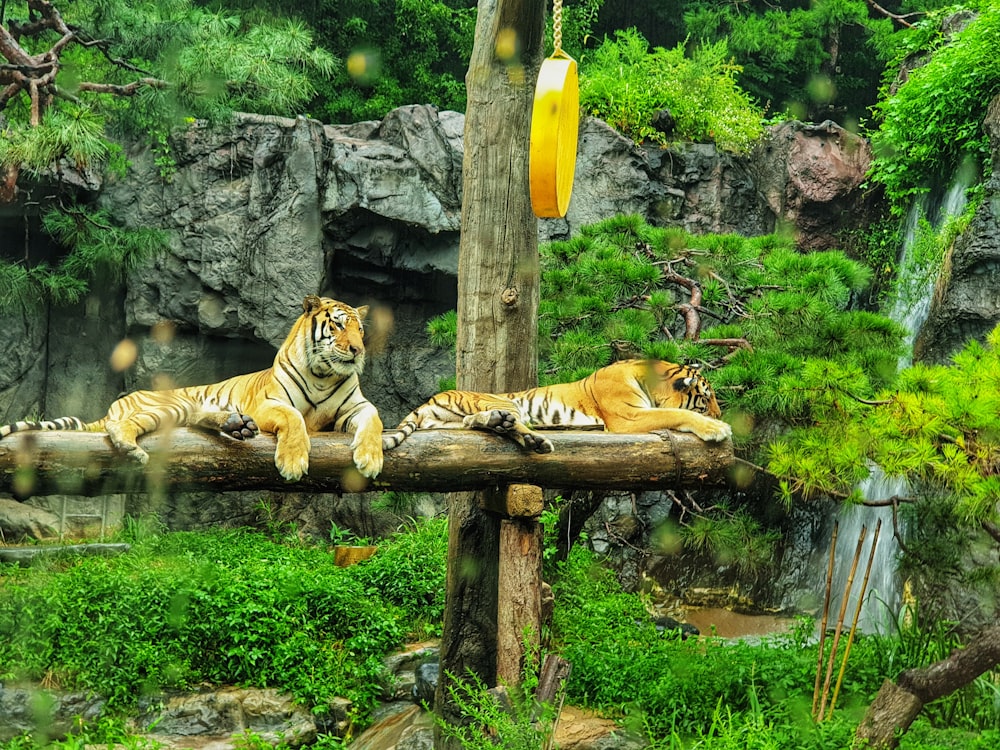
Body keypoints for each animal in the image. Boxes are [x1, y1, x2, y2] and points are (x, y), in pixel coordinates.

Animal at [0, 294, 384, 482]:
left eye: (361, 329)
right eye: (338, 326)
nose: (358, 350)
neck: (324, 373)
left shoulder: (355, 407)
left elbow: (375, 419)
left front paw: (370, 459)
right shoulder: (268, 404)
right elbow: (294, 419)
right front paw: (292, 462)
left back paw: (236, 425)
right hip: (166, 407)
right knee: (119, 427)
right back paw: (132, 448)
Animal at [382, 358, 736, 452]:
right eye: (706, 398)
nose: (721, 412)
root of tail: (432, 398)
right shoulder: (627, 417)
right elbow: (675, 412)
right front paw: (717, 427)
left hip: (460, 418)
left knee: (476, 423)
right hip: (504, 401)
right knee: (512, 425)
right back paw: (536, 441)